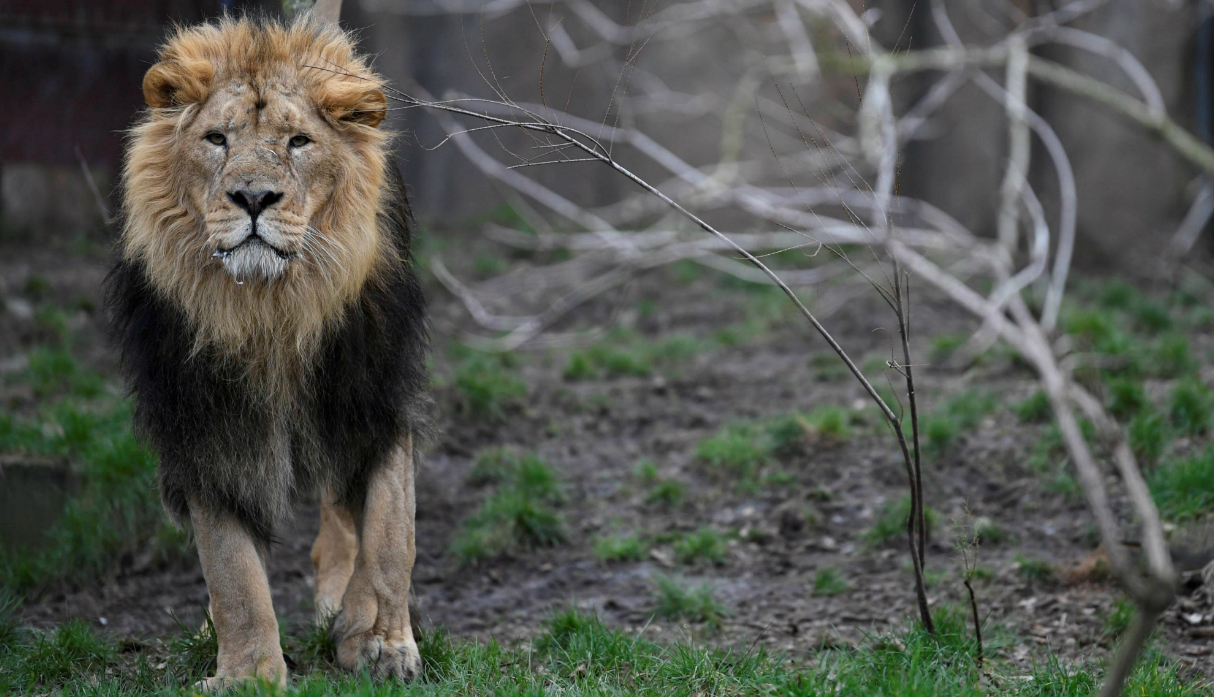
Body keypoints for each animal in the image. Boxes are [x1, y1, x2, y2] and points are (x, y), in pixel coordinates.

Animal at [106, 13, 432, 689]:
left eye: (299, 142)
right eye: (217, 139)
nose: (253, 198)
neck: (271, 309)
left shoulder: (377, 395)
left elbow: (391, 533)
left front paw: (380, 641)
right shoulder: (205, 427)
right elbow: (232, 570)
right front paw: (247, 674)